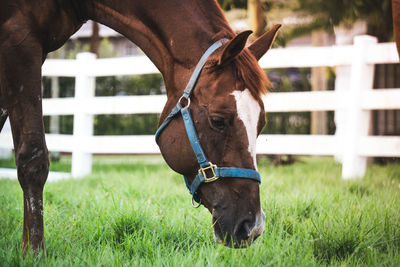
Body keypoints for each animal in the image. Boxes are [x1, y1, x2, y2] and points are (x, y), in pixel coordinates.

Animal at [0, 0, 282, 253]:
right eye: (218, 121)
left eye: (261, 123)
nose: (252, 226)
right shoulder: (20, 44)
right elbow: (33, 160)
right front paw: (33, 252)